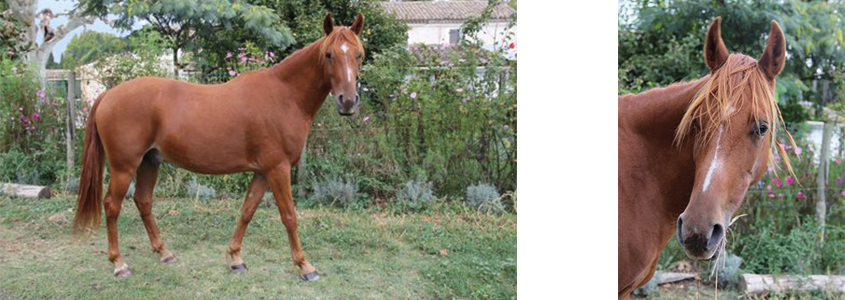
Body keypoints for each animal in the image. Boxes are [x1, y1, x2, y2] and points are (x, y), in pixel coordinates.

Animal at [71, 13, 362, 282]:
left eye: (359, 55)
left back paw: (164, 252)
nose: (347, 101)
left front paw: (235, 258)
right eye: (328, 55)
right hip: (124, 166)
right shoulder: (278, 169)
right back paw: (119, 264)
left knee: (143, 201)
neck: (284, 95)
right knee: (112, 206)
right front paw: (305, 266)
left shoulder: (263, 171)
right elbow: (289, 216)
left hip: (148, 162)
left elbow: (247, 211)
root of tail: (108, 94)